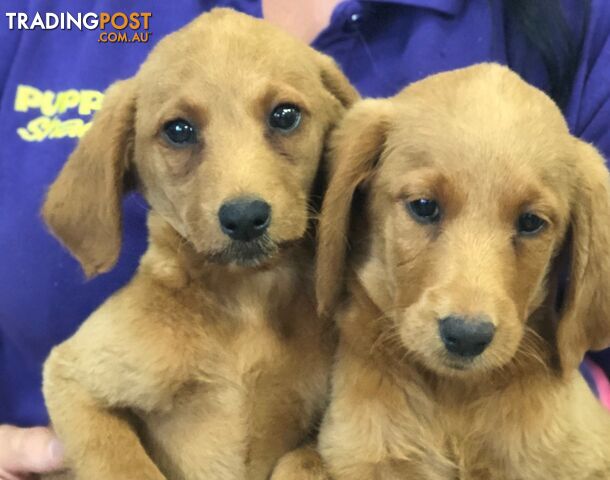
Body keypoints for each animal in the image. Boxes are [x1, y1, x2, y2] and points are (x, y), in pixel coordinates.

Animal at [41, 8, 356, 480]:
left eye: (285, 115)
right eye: (178, 130)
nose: (244, 218)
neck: (248, 306)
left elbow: (304, 459)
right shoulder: (73, 376)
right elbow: (122, 463)